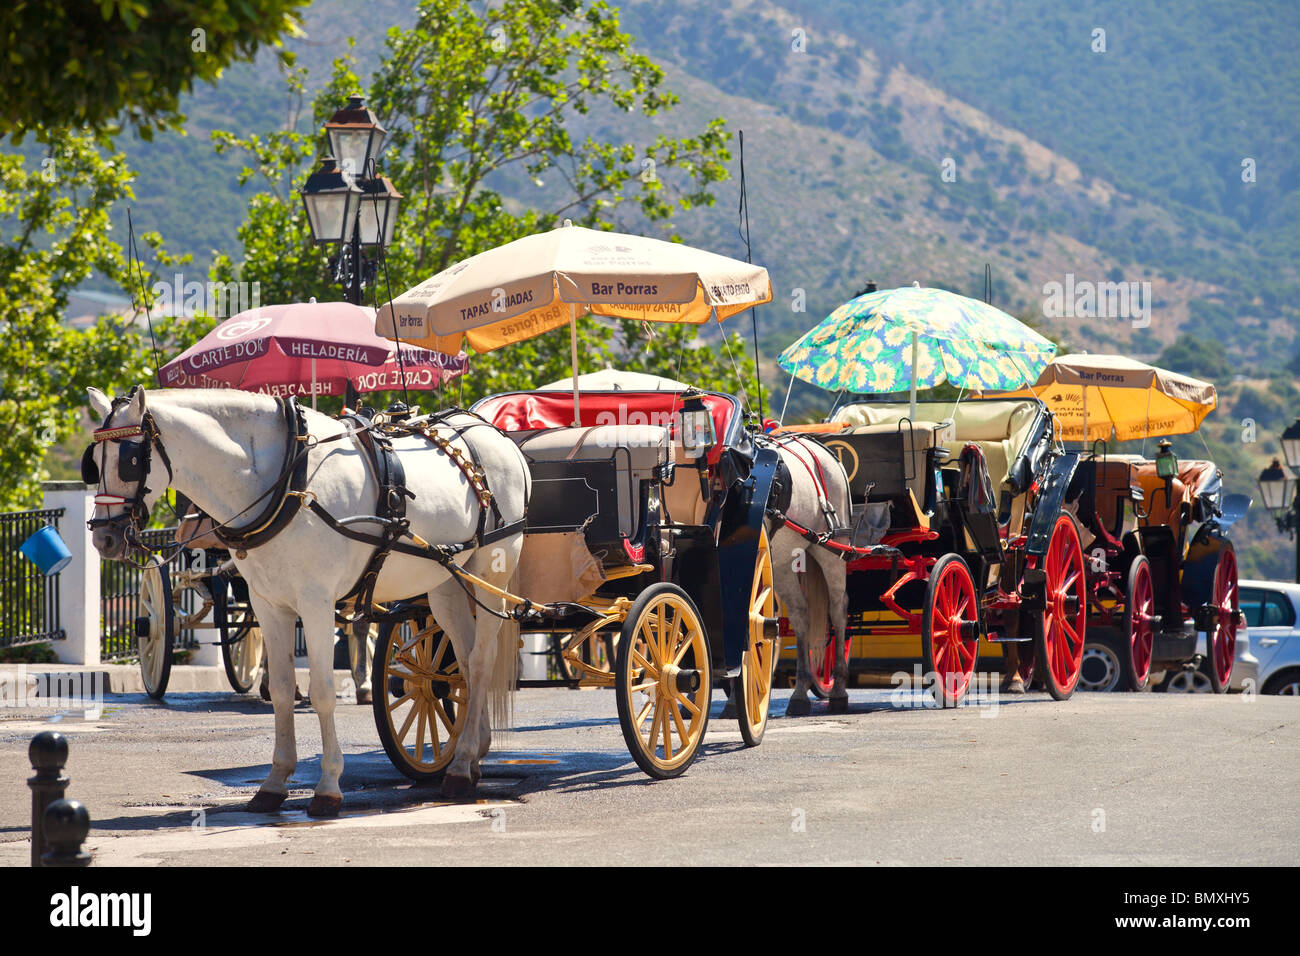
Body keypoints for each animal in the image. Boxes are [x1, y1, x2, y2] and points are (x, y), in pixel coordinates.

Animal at [86, 390, 527, 816]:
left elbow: (322, 691)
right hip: (447, 584)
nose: (103, 537)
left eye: (129, 460)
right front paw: (274, 782)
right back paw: (472, 753)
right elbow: (282, 690)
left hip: (492, 574)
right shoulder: (269, 604)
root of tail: (494, 434)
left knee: (482, 660)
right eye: (93, 461)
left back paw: (462, 764)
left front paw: (328, 787)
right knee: (465, 663)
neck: (287, 482)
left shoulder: (316, 603)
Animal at [764, 437, 857, 712]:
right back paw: (801, 689)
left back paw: (838, 690)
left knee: (838, 608)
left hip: (833, 549)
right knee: (800, 613)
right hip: (781, 564)